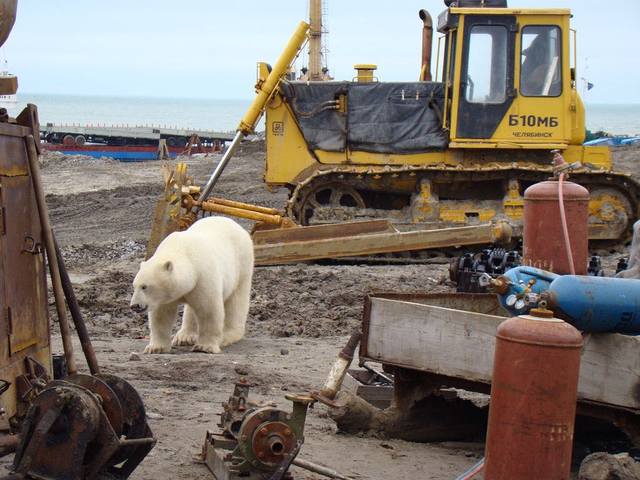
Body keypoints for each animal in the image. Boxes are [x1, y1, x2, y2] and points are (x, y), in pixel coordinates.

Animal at [131, 216, 254, 354]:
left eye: (144, 286)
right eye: (134, 286)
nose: (134, 306)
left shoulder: (203, 276)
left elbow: (209, 311)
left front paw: (204, 347)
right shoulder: (166, 295)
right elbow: (161, 316)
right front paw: (155, 348)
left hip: (242, 264)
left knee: (236, 301)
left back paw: (228, 336)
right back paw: (184, 337)